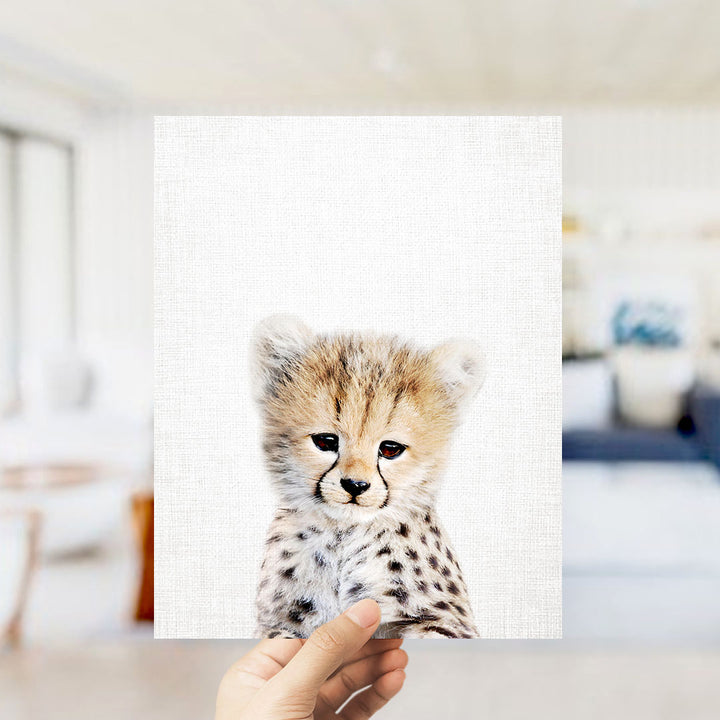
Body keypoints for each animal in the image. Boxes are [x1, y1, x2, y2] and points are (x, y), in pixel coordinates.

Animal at [252, 315, 485, 639]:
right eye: (325, 441)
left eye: (390, 449)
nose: (355, 485)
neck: (343, 538)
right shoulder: (278, 623)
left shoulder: (446, 621)